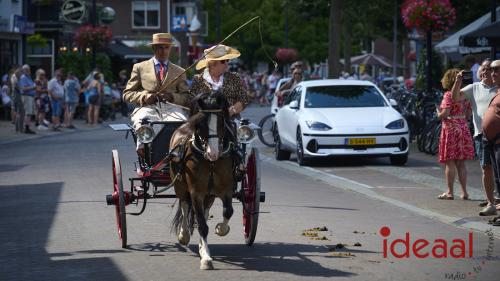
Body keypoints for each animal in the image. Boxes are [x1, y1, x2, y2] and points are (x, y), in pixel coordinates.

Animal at [170, 91, 236, 268]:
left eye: (221, 121)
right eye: (200, 123)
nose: (213, 153)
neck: (211, 162)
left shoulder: (226, 189)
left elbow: (228, 211)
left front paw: (221, 229)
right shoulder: (196, 192)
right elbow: (201, 224)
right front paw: (206, 257)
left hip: (210, 195)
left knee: (205, 212)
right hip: (180, 186)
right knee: (185, 206)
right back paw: (184, 235)